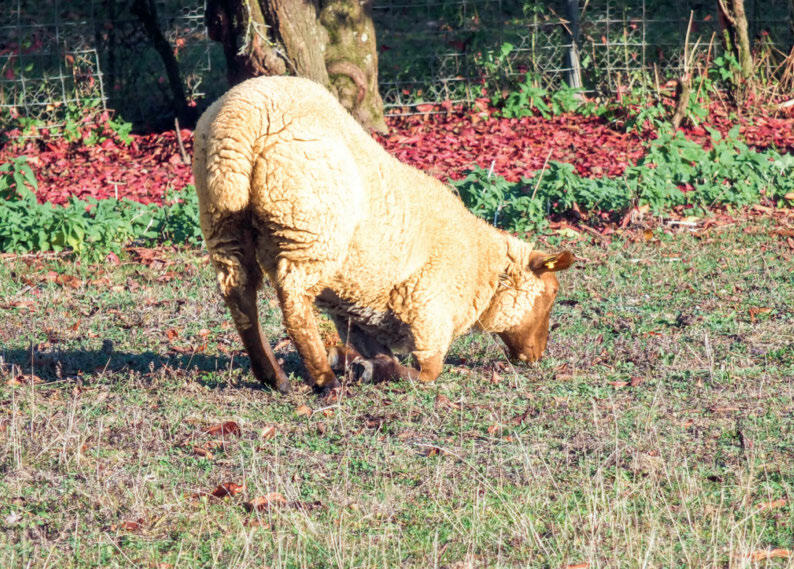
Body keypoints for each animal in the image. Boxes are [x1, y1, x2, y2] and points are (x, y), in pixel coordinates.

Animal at [192, 76, 573, 393]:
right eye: (552, 293)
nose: (537, 356)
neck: (482, 270)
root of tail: (242, 117)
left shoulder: (354, 311)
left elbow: (370, 345)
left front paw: (354, 361)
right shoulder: (429, 313)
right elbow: (427, 372)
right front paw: (370, 370)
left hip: (222, 218)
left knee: (239, 293)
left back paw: (274, 376)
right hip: (309, 227)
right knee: (294, 301)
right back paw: (324, 380)